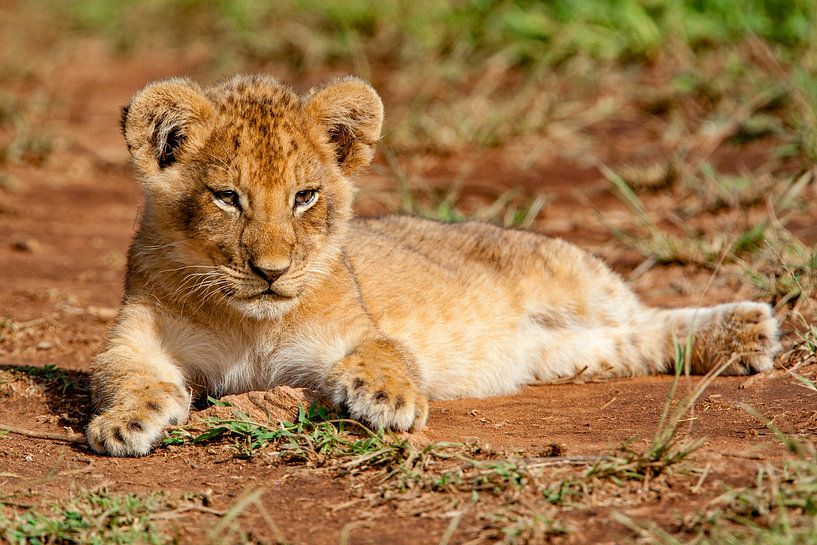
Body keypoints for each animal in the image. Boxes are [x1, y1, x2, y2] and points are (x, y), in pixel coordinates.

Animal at [86, 74, 781, 456]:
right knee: (632, 342)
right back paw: (738, 339)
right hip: (569, 354)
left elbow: (386, 350)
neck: (247, 320)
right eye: (227, 198)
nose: (272, 272)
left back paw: (745, 329)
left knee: (647, 314)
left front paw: (389, 401)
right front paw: (124, 424)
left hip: (571, 275)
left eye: (304, 196)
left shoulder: (353, 329)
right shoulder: (135, 339)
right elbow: (123, 375)